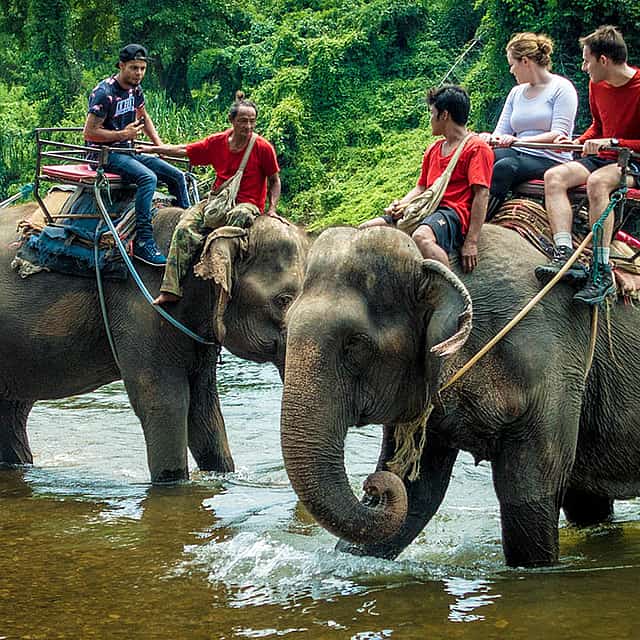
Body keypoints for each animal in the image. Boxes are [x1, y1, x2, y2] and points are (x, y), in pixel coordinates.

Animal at [0, 201, 308, 482]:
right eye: (283, 300)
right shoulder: (143, 305)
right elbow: (163, 401)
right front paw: (173, 483)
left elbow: (204, 407)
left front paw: (221, 474)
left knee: (14, 409)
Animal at [280, 223, 640, 567]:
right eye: (285, 325)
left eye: (355, 343)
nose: (372, 485)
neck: (434, 264)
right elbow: (417, 492)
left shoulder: (549, 363)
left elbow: (530, 494)